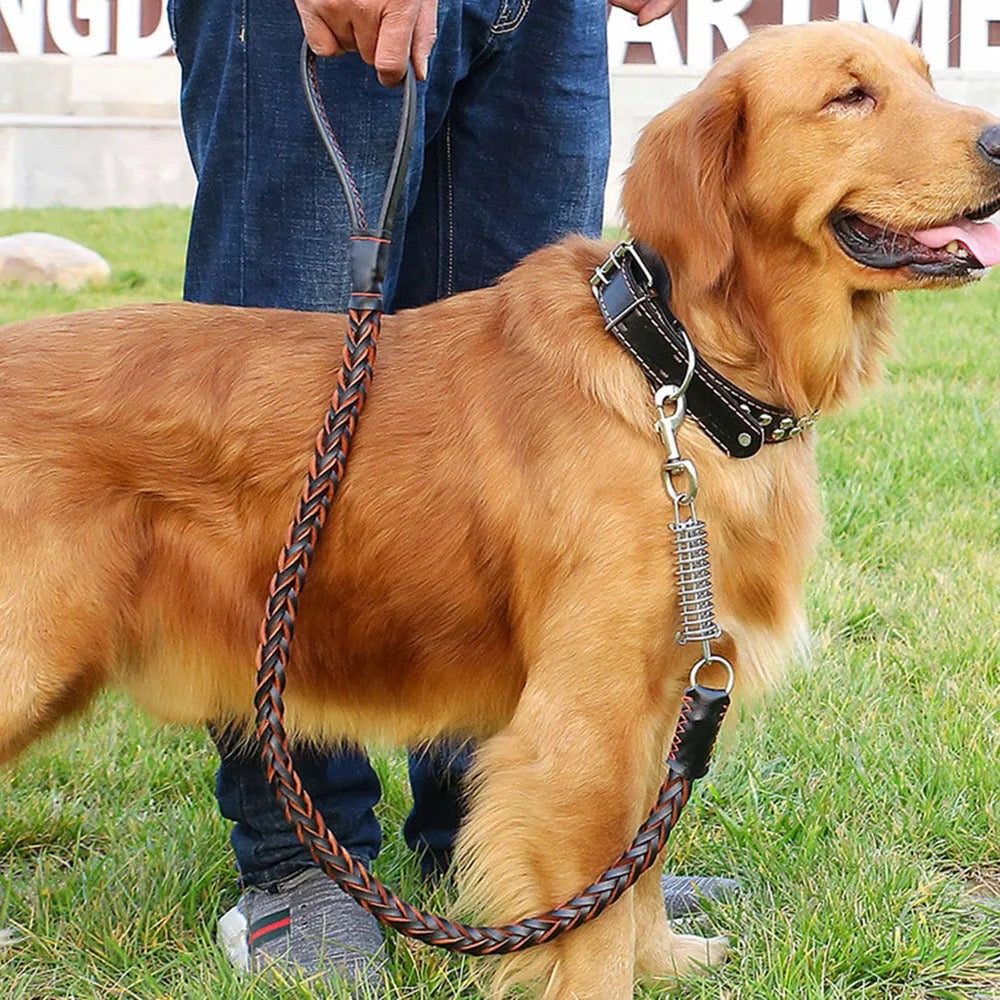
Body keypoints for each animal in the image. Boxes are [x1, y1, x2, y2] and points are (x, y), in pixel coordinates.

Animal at [1, 17, 1000, 1000]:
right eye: (850, 95)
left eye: (926, 78)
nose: (999, 140)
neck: (676, 369)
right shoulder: (582, 728)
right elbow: (595, 922)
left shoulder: (662, 699)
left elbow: (641, 869)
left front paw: (664, 958)